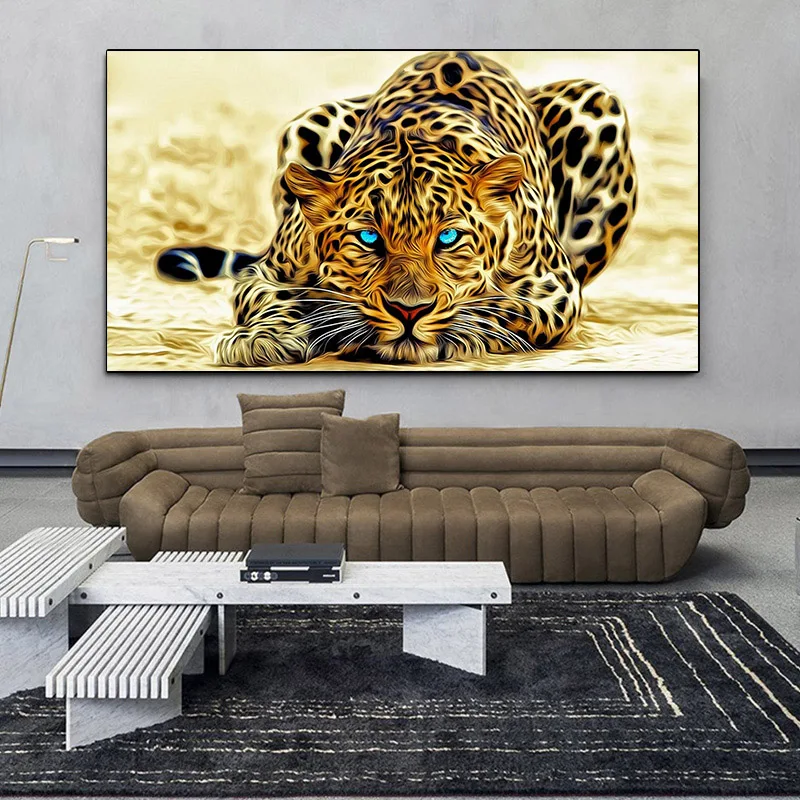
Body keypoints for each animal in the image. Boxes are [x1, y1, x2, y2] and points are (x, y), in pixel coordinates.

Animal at [155, 51, 638, 366]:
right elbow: (275, 298)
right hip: (310, 120)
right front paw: (262, 337)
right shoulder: (268, 272)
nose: (409, 312)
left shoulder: (554, 289)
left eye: (448, 238)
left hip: (598, 104)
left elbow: (499, 309)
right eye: (368, 238)